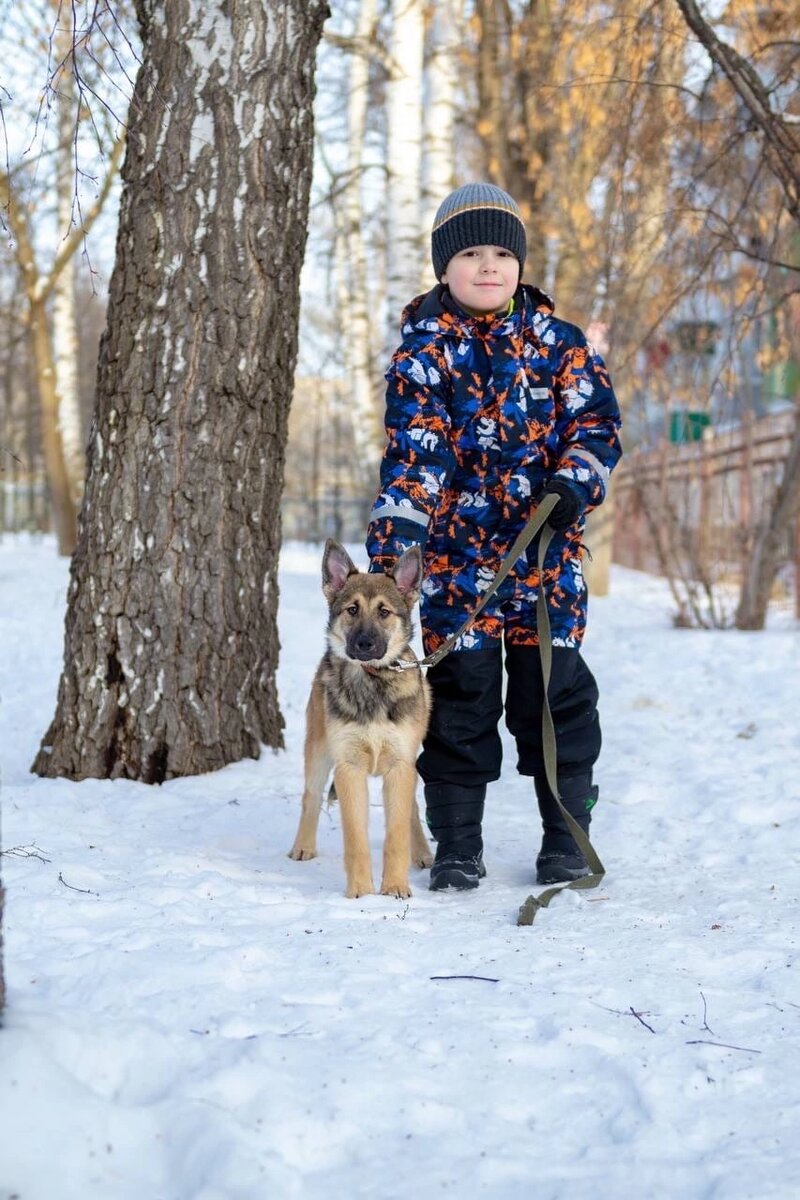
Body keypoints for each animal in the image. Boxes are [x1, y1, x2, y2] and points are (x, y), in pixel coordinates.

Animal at [291, 540, 434, 897]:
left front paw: (395, 886)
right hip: (318, 751)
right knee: (310, 796)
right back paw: (303, 846)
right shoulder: (349, 768)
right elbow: (355, 838)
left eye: (384, 612)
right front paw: (360, 891)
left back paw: (422, 854)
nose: (364, 644)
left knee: (412, 809)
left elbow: (397, 833)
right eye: (352, 610)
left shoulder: (400, 766)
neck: (372, 681)